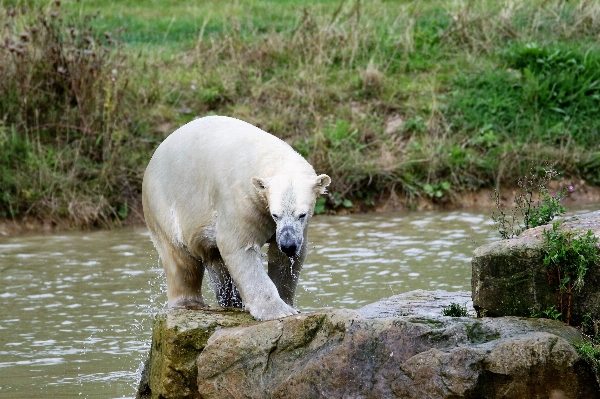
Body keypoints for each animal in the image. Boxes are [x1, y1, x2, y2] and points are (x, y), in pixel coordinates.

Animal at [143, 115, 330, 322]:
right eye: (276, 214)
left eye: (302, 214)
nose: (288, 245)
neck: (265, 155)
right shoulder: (240, 199)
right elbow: (239, 247)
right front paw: (277, 310)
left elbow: (286, 259)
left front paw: (290, 304)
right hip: (163, 204)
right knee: (181, 260)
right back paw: (189, 303)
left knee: (216, 263)